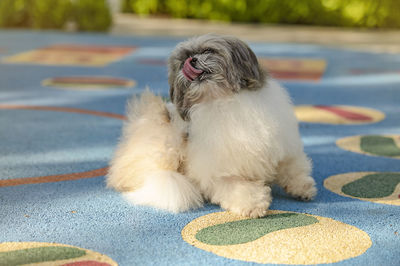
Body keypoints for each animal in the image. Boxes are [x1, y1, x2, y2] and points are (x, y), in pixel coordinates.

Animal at [108, 34, 318, 218]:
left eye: (208, 51)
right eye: (183, 60)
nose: (191, 60)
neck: (223, 102)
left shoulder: (281, 147)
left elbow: (292, 167)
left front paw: (303, 187)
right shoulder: (219, 173)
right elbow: (239, 187)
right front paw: (254, 205)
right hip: (166, 142)